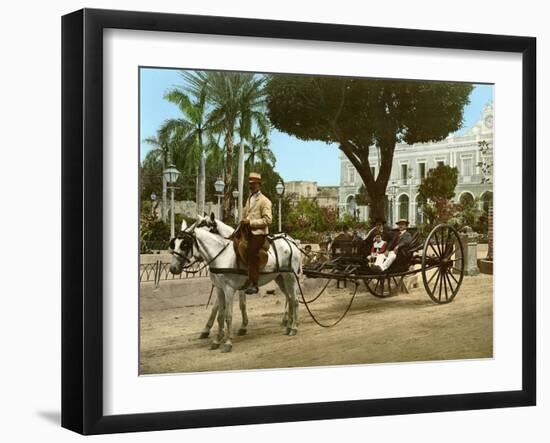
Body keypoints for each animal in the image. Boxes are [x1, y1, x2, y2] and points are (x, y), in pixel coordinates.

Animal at [171, 217, 304, 352]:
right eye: (174, 243)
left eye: (185, 244)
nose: (173, 268)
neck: (222, 256)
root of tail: (292, 242)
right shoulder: (220, 289)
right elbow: (220, 314)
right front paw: (216, 340)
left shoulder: (229, 289)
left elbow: (229, 315)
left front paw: (228, 342)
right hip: (281, 278)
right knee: (290, 298)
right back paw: (288, 325)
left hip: (291, 277)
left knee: (295, 300)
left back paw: (294, 327)